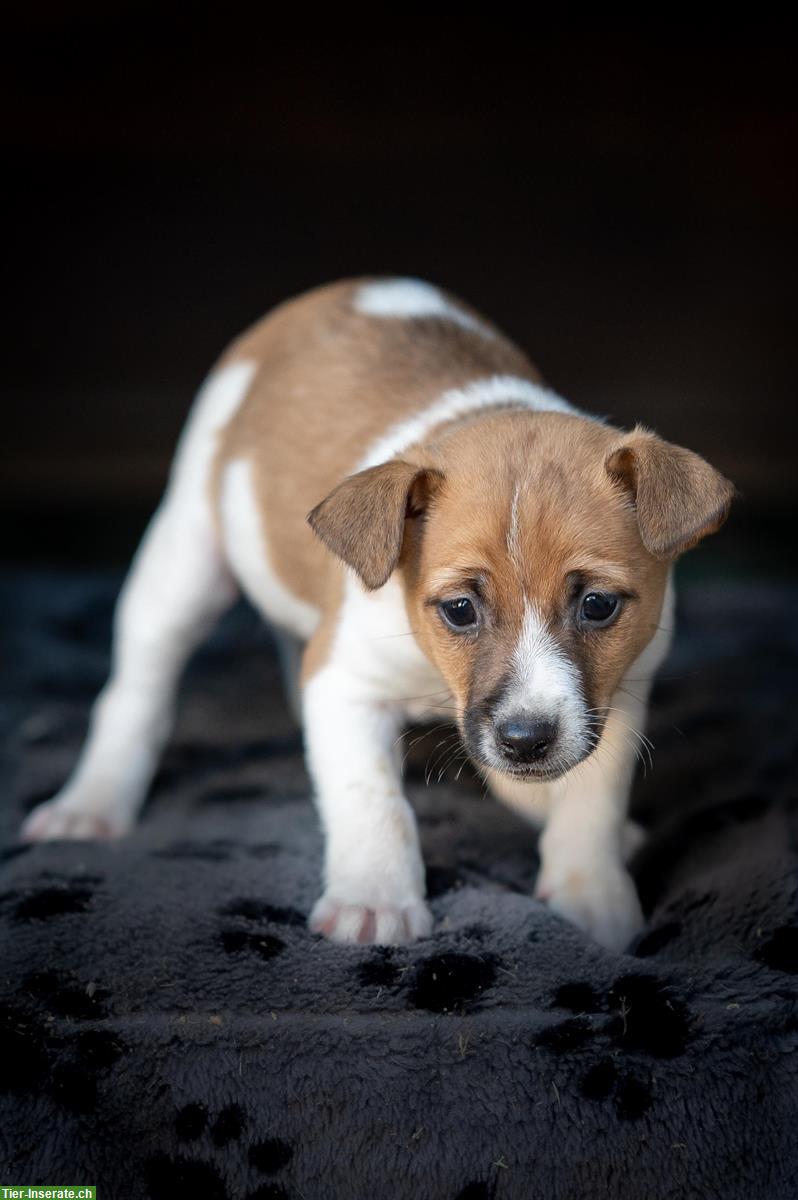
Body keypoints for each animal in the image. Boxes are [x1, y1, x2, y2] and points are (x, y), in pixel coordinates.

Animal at [21, 276, 734, 950]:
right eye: (459, 610)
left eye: (597, 605)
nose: (526, 741)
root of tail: (344, 290)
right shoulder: (345, 689)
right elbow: (372, 800)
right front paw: (375, 900)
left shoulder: (617, 696)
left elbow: (592, 802)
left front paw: (591, 897)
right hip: (184, 562)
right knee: (137, 692)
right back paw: (91, 803)